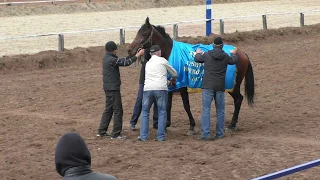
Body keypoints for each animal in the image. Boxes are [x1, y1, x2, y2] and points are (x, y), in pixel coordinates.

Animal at [127, 17, 255, 135]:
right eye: (138, 32)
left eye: (143, 34)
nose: (129, 50)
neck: (170, 53)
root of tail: (242, 53)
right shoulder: (170, 85)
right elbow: (168, 105)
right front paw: (166, 124)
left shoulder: (183, 86)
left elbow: (186, 105)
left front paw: (191, 126)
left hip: (233, 85)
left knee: (238, 99)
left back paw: (232, 125)